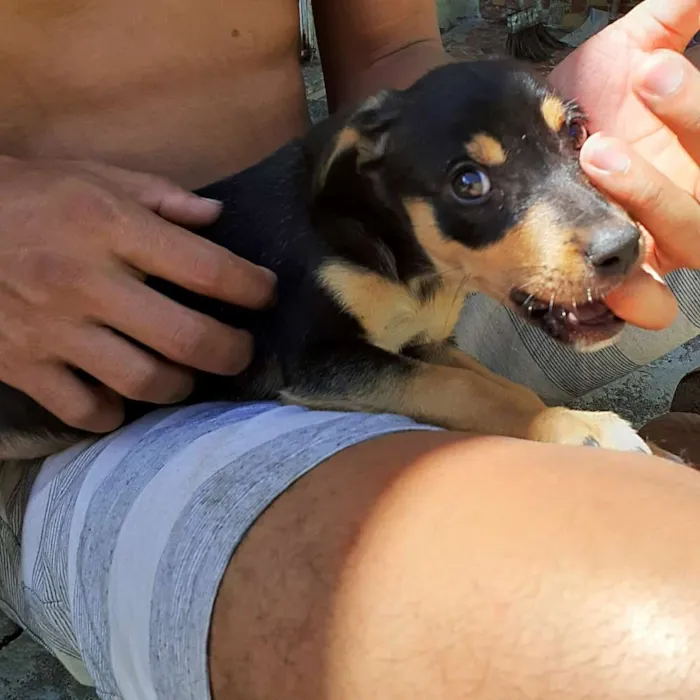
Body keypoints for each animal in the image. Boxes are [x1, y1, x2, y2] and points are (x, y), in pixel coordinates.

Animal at [0, 60, 660, 460]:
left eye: (574, 133)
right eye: (467, 183)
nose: (624, 248)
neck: (395, 258)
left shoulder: (421, 341)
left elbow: (490, 380)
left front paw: (588, 424)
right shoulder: (321, 361)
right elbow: (468, 389)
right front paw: (572, 428)